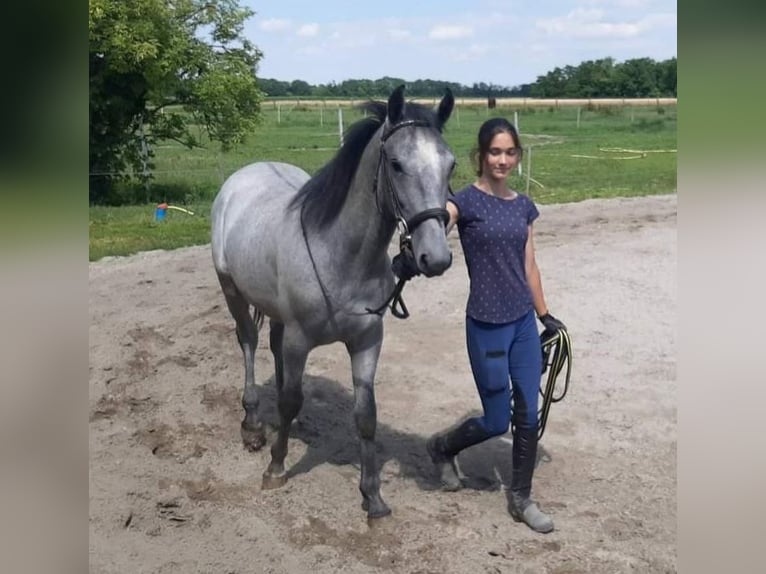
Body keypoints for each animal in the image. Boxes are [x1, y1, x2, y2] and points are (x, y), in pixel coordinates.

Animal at [210, 85, 456, 520]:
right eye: (396, 164)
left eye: (451, 166)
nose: (435, 257)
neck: (341, 254)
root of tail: (242, 177)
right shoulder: (300, 339)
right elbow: (290, 399)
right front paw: (275, 468)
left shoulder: (367, 341)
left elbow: (365, 415)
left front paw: (372, 495)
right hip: (232, 291)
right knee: (249, 344)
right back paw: (253, 425)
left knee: (272, 346)